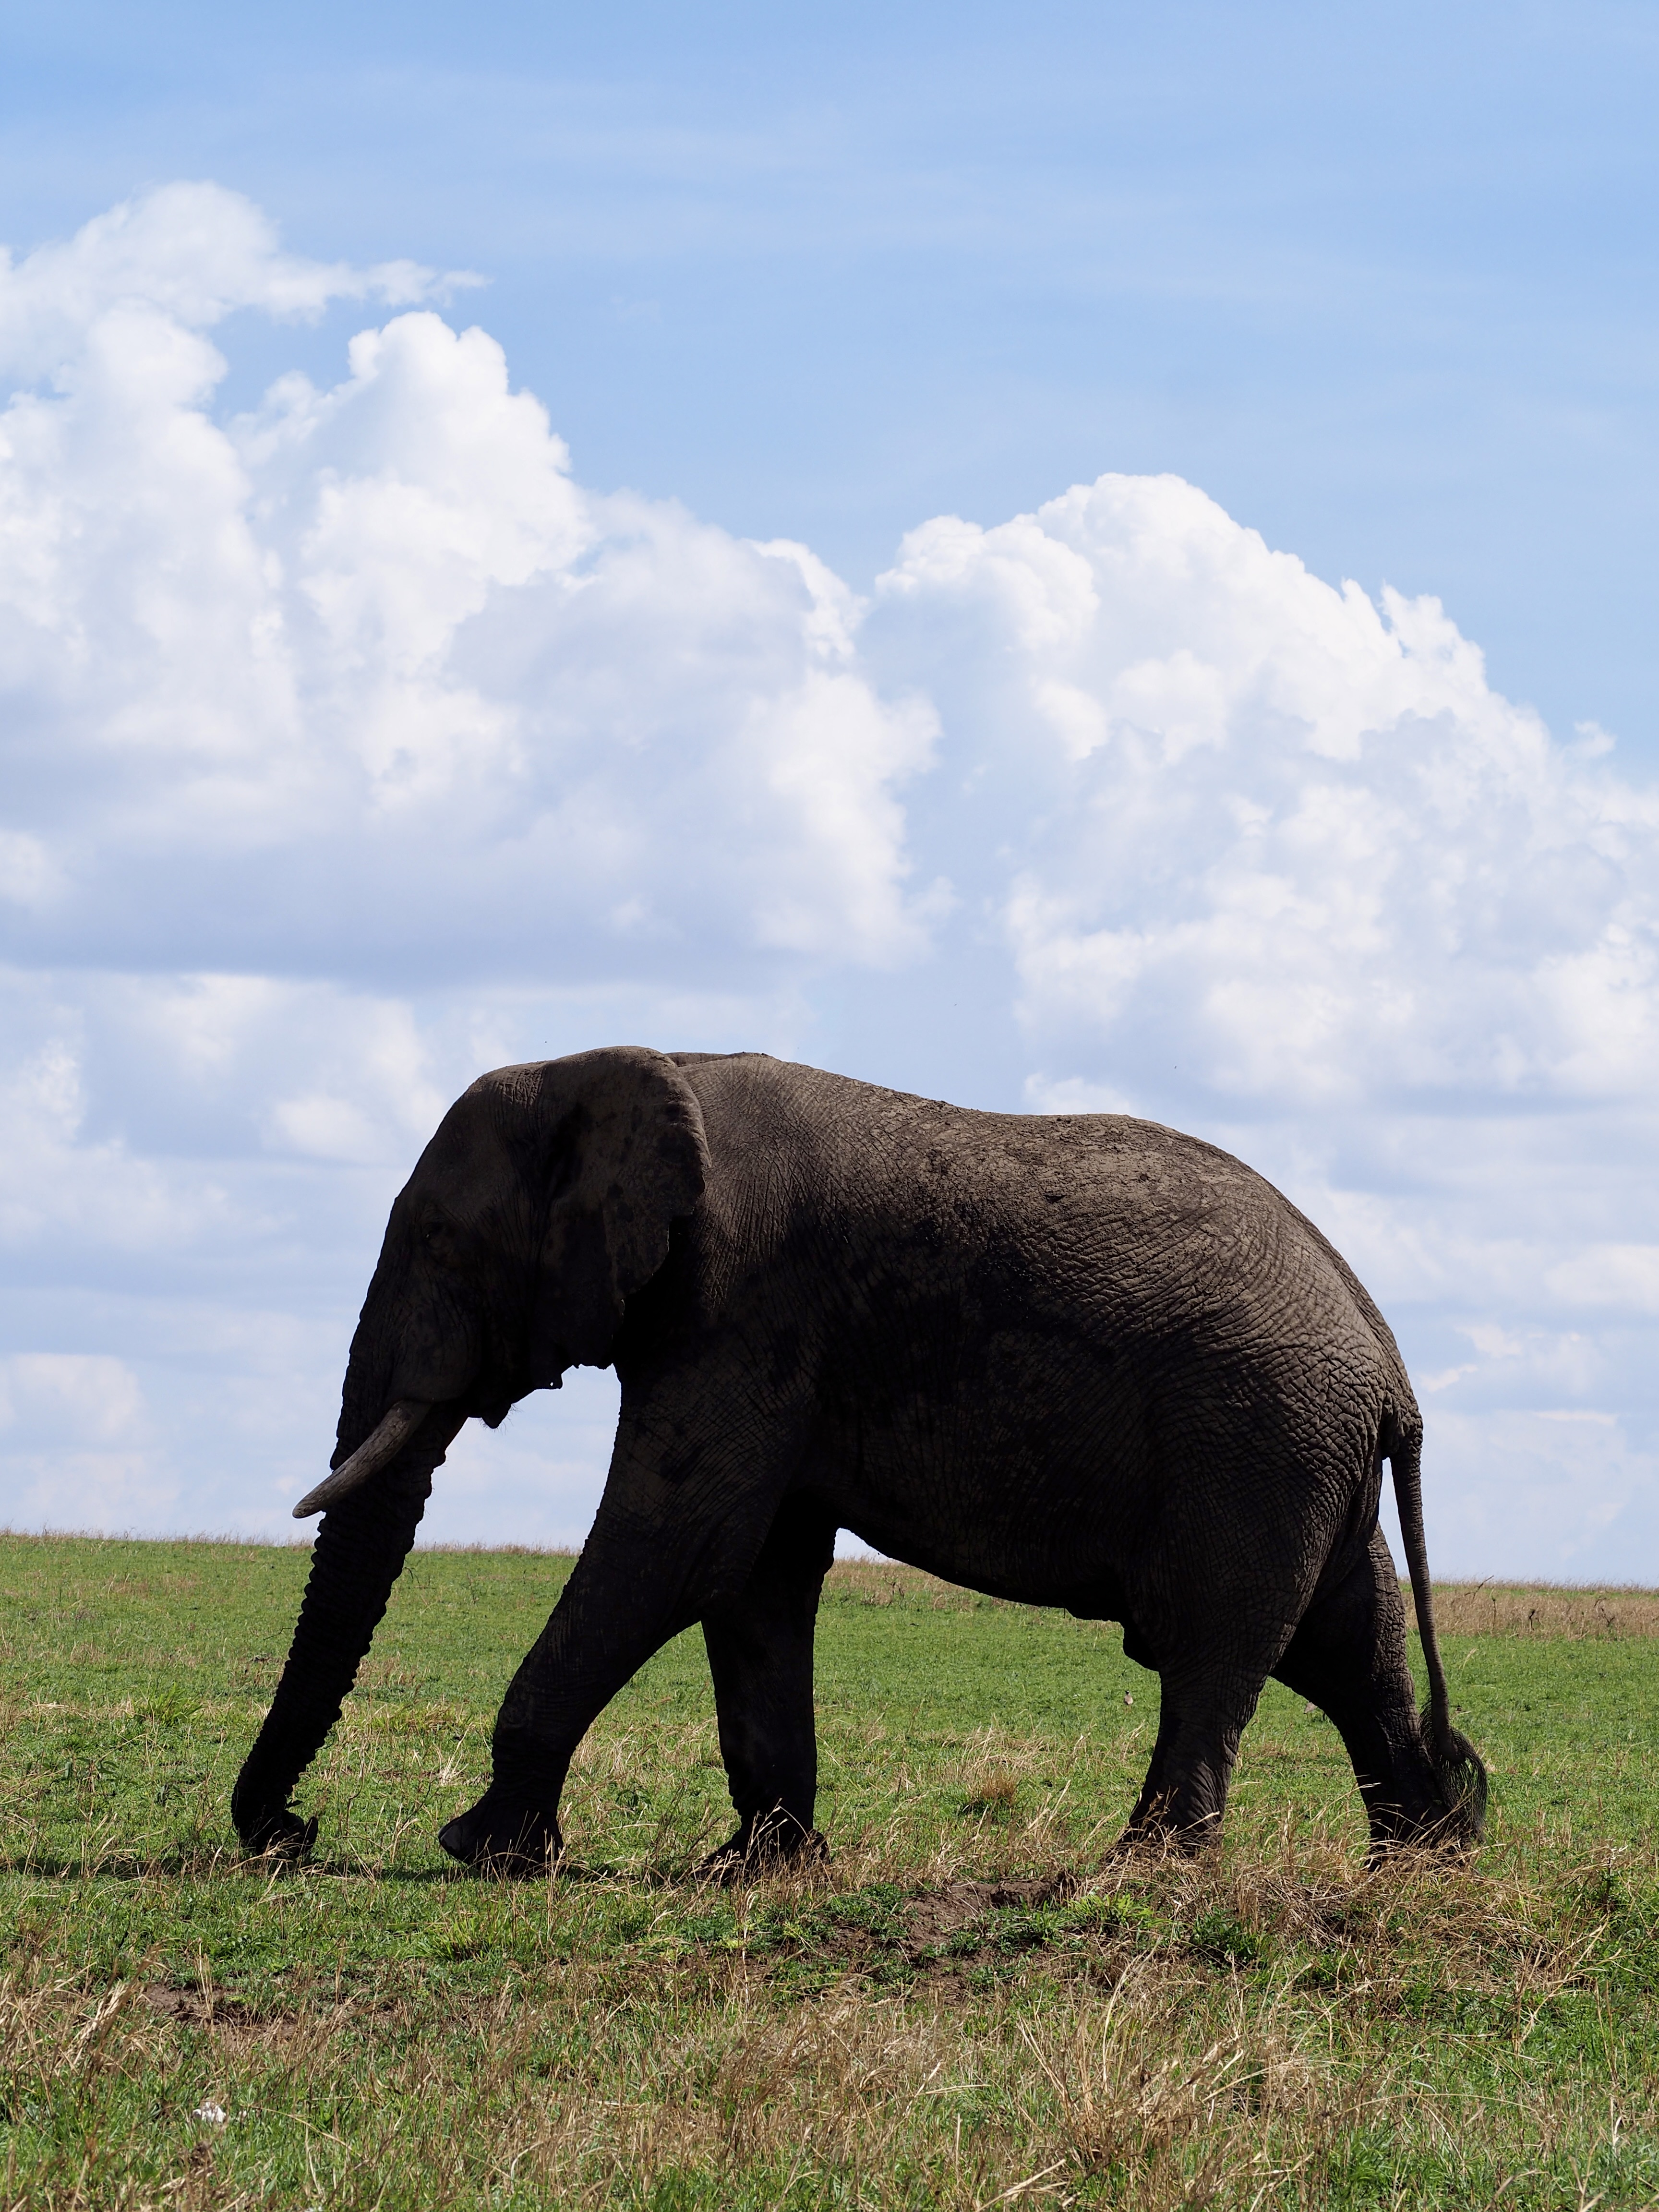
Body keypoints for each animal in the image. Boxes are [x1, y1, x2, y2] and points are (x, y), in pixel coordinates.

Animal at [228, 1044, 1486, 1875]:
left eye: (442, 1244)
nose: (293, 1836)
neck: (620, 1064)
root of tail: (1388, 1362)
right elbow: (753, 1576)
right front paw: (760, 1869)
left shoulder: (743, 1307)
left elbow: (678, 1544)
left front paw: (483, 1852)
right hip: (1298, 1454)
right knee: (1350, 1643)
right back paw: (1426, 1861)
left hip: (1253, 1441)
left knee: (1214, 1647)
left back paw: (1141, 1877)